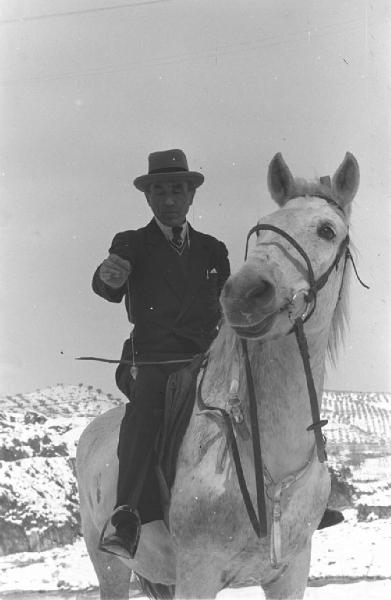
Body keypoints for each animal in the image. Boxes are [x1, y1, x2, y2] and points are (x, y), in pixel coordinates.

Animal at [75, 151, 360, 600]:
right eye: (263, 226)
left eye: (327, 230)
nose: (245, 293)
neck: (271, 463)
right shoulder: (199, 572)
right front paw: (111, 273)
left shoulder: (291, 573)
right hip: (110, 566)